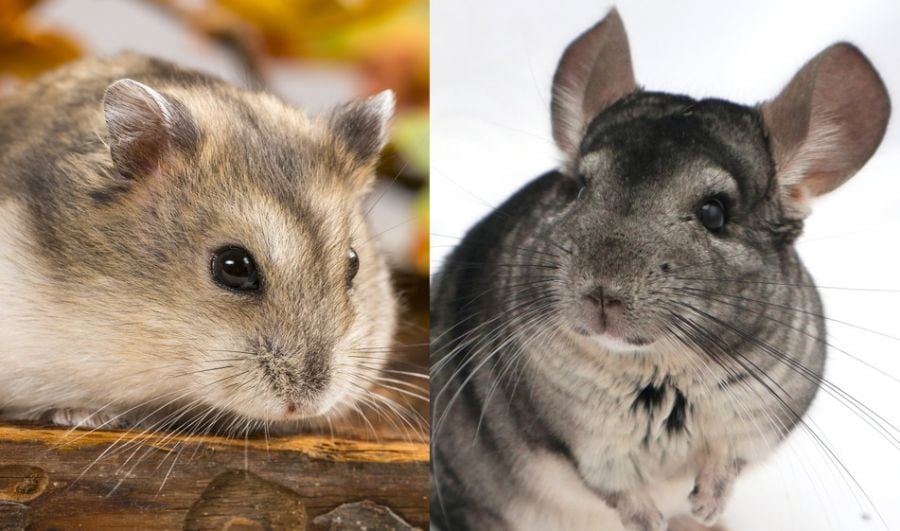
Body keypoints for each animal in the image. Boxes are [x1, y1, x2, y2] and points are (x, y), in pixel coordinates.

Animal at [430, 9, 890, 531]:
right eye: (579, 188)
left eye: (715, 213)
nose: (602, 294)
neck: (662, 369)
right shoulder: (585, 440)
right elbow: (616, 486)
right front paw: (650, 522)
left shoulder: (758, 422)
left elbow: (728, 462)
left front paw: (706, 508)